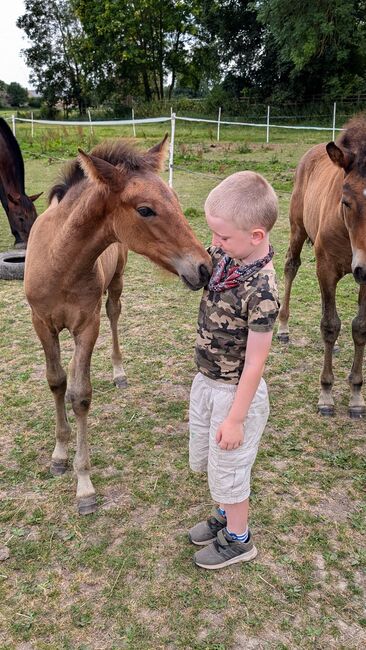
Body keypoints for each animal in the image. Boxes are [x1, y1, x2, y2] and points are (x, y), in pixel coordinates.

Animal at [278, 114, 366, 418]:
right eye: (346, 201)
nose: (364, 267)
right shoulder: (326, 268)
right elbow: (329, 325)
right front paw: (326, 394)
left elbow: (359, 327)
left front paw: (356, 396)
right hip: (297, 230)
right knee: (291, 266)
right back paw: (283, 329)